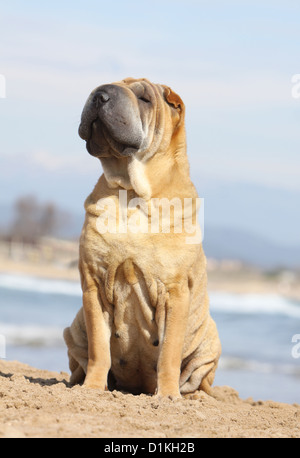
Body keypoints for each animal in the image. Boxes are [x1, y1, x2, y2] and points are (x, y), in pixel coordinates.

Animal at [63, 78, 221, 398]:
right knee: (80, 360)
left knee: (200, 378)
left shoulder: (175, 292)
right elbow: (99, 349)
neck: (131, 192)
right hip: (73, 329)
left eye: (144, 98)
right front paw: (93, 388)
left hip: (211, 340)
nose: (99, 95)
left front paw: (168, 395)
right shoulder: (94, 285)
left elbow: (169, 353)